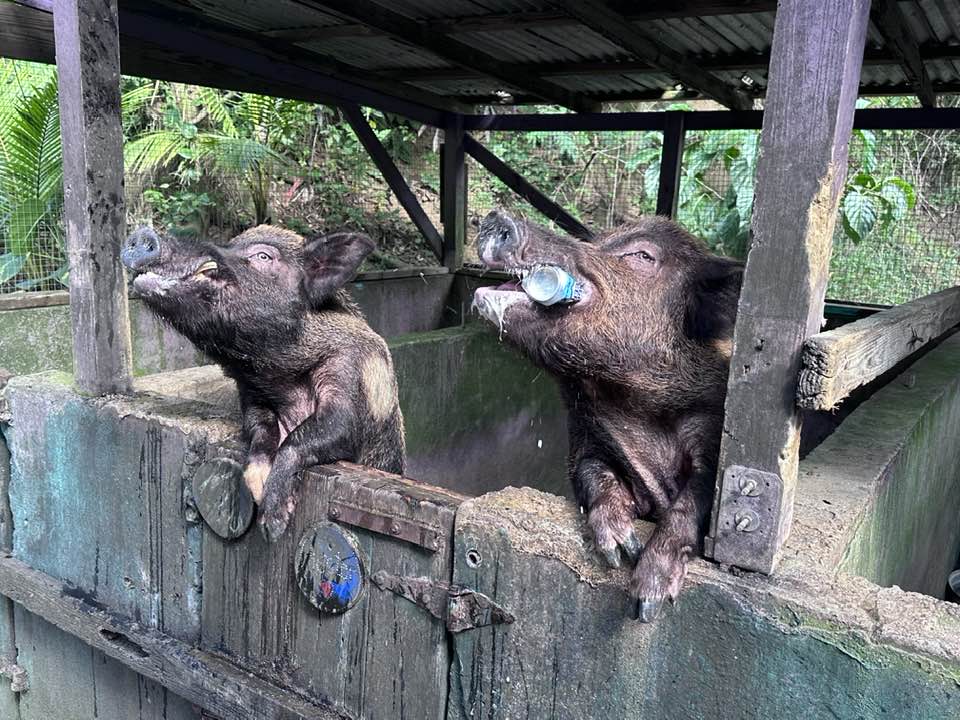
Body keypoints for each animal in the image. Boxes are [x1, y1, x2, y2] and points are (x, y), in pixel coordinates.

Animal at [121, 225, 405, 541]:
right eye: (232, 243)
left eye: (263, 256)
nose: (142, 233)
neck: (278, 378)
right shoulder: (252, 396)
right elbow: (260, 430)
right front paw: (256, 484)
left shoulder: (350, 373)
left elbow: (320, 432)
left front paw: (273, 526)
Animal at [472, 210, 742, 621]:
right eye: (597, 240)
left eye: (643, 256)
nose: (497, 216)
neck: (631, 408)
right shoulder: (583, 443)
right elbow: (593, 474)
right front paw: (619, 550)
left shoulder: (711, 431)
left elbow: (695, 498)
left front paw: (646, 602)